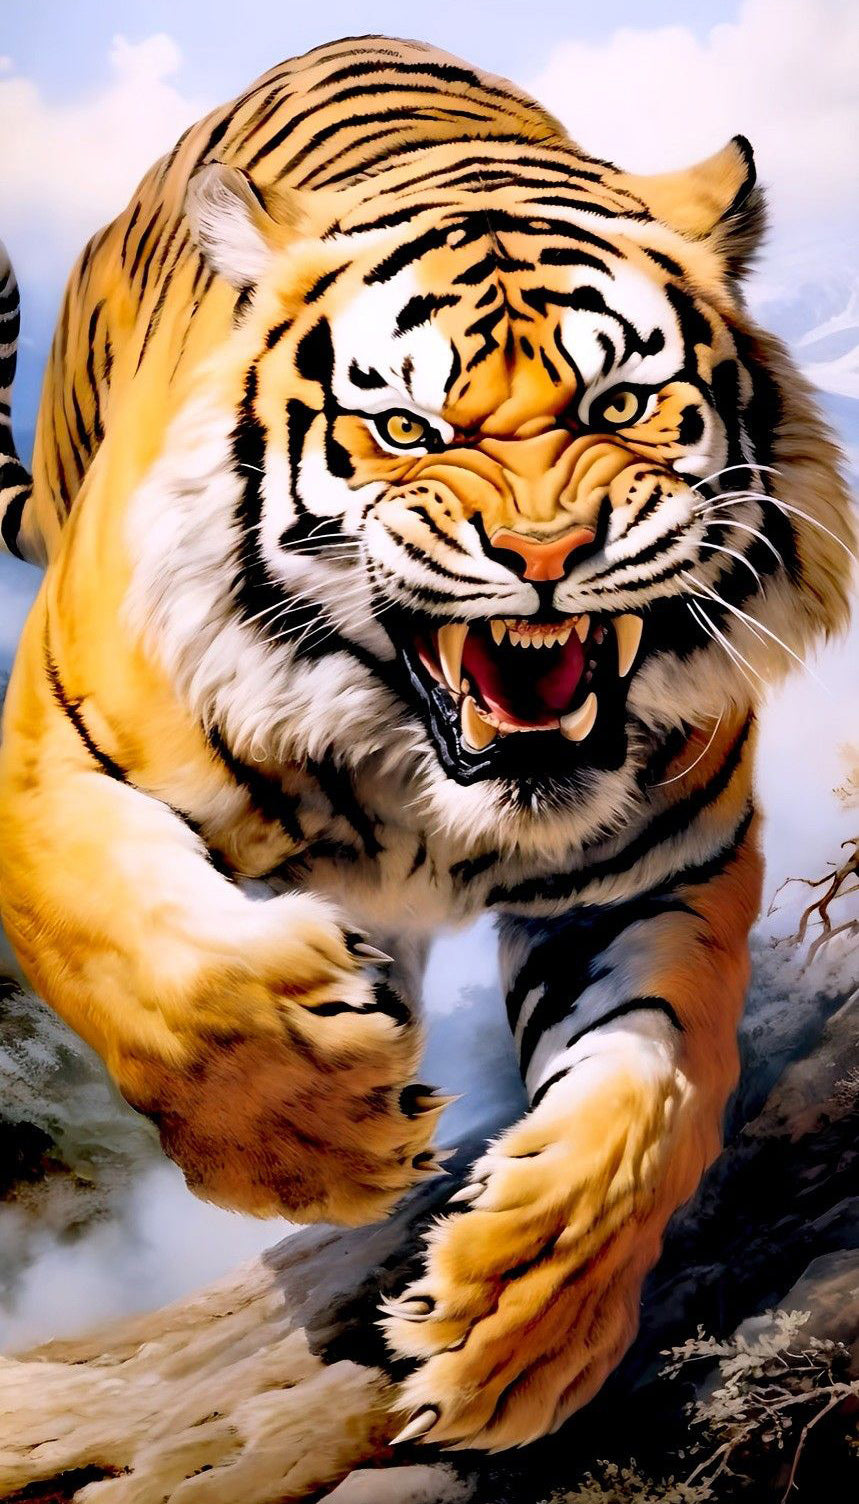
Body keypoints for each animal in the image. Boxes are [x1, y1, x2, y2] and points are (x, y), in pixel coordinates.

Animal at [0, 34, 853, 1454]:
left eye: (621, 402)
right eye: (407, 429)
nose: (546, 555)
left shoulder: (661, 869)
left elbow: (654, 1088)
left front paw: (515, 1328)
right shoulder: (51, 757)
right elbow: (149, 969)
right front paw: (324, 1137)